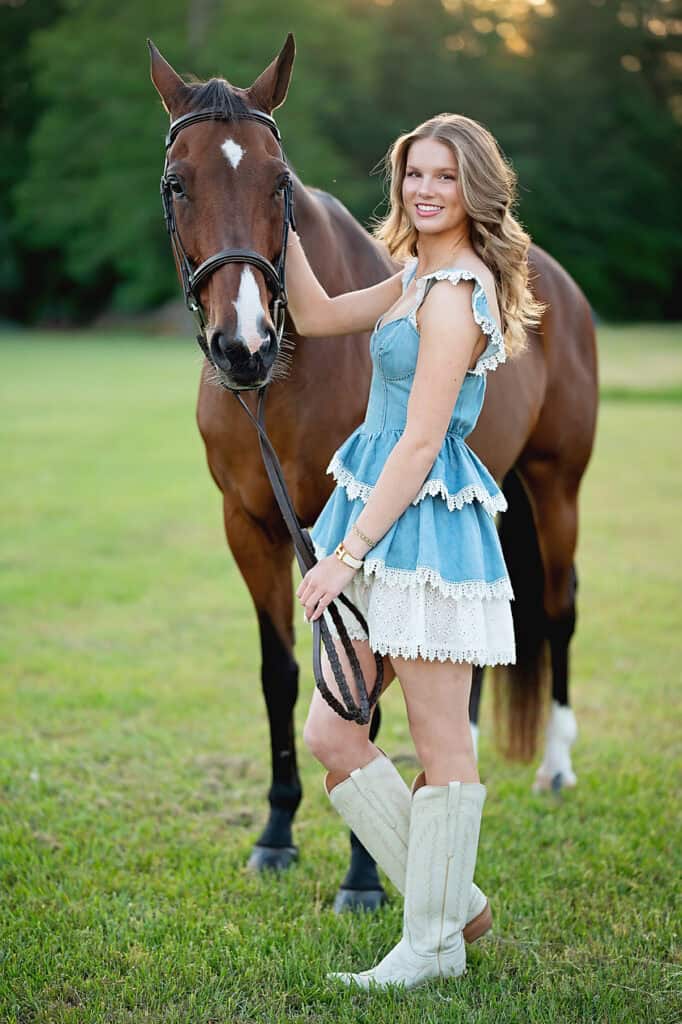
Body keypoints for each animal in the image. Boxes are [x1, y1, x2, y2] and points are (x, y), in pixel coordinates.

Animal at [147, 34, 593, 913]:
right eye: (179, 183)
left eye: (279, 183)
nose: (242, 347)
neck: (290, 379)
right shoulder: (250, 527)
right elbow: (282, 673)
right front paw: (276, 834)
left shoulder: (352, 536)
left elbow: (359, 688)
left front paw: (361, 878)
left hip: (558, 488)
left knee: (559, 610)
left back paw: (556, 767)